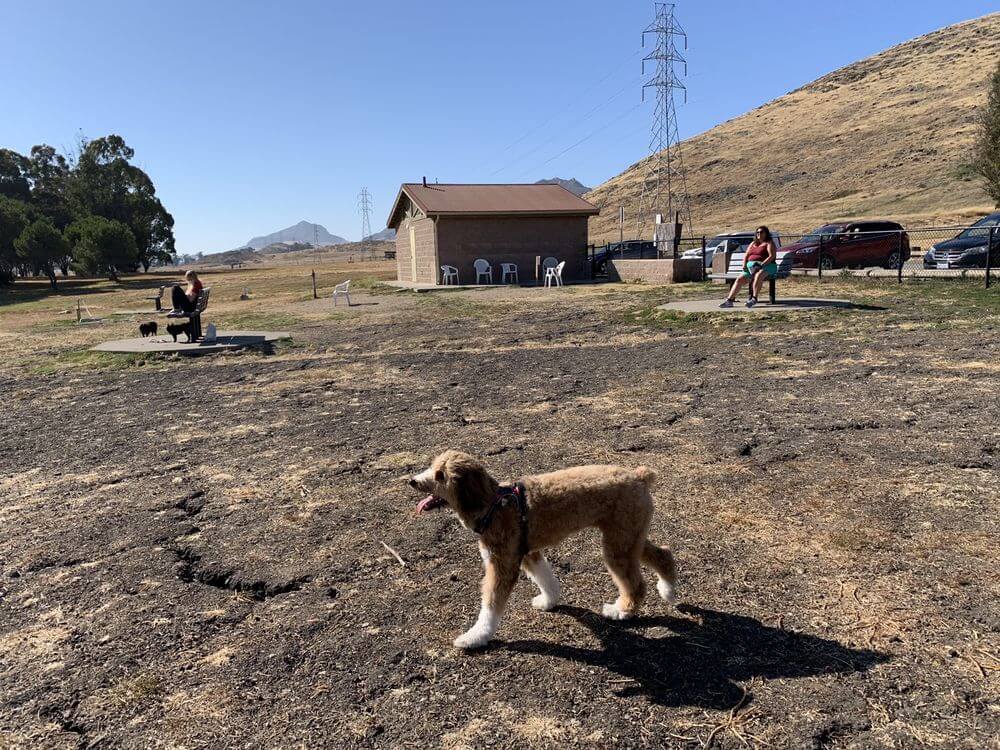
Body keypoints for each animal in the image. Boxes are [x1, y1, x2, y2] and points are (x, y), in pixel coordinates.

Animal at [408, 452, 680, 652]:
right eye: (431, 467)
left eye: (440, 475)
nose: (411, 481)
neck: (494, 504)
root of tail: (639, 476)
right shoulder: (528, 554)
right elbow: (546, 579)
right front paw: (549, 601)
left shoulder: (503, 565)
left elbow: (490, 607)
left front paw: (474, 637)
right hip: (629, 538)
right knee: (663, 554)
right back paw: (667, 589)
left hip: (617, 546)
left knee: (636, 584)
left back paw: (621, 611)